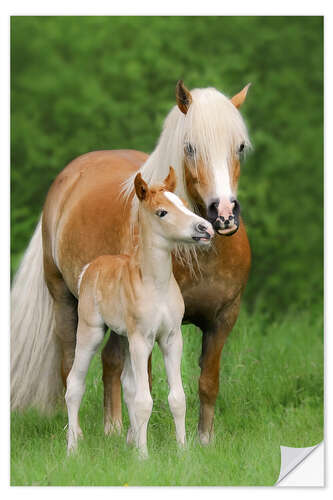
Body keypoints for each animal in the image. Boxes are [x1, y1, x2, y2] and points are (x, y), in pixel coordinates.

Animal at [65, 168, 213, 458]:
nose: (205, 229)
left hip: (123, 336)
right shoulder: (141, 340)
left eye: (183, 204)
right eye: (162, 212)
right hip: (91, 332)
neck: (156, 285)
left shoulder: (171, 338)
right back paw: (72, 448)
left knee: (128, 385)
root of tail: (90, 268)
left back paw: (129, 440)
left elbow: (176, 398)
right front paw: (143, 456)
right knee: (74, 383)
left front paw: (182, 451)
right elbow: (144, 400)